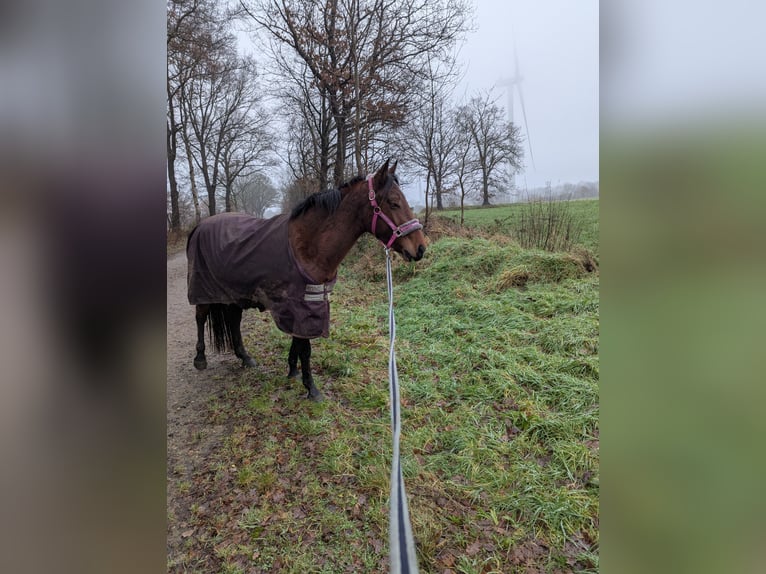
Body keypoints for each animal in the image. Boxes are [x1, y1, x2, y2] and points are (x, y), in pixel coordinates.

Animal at [186, 160, 426, 402]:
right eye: (394, 203)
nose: (420, 248)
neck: (309, 246)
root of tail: (199, 226)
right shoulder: (300, 304)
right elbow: (305, 347)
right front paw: (311, 388)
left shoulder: (309, 303)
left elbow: (298, 340)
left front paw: (292, 370)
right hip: (203, 289)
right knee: (200, 317)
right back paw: (200, 359)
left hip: (234, 294)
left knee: (234, 321)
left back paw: (245, 357)